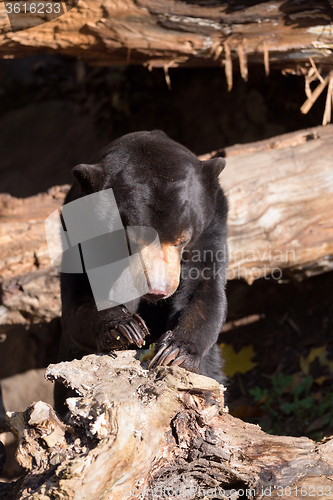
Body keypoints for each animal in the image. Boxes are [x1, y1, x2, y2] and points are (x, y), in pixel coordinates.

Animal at [55, 131, 227, 412]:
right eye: (131, 240)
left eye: (181, 240)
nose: (157, 290)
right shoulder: (77, 235)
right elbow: (79, 303)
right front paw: (125, 327)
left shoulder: (212, 228)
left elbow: (203, 290)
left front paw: (175, 352)